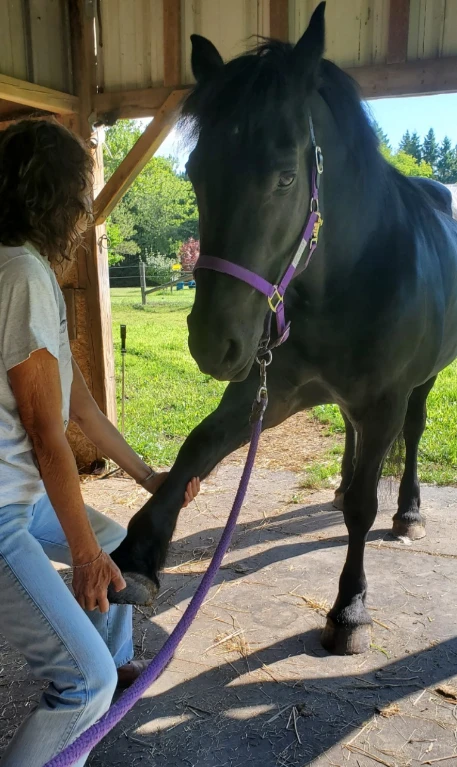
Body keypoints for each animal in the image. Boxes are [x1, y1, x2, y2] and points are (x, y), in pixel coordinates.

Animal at [110, 2, 457, 655]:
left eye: (286, 178)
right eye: (194, 172)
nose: (213, 343)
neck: (350, 278)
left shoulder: (383, 401)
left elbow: (364, 508)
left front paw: (350, 610)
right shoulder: (269, 389)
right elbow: (199, 445)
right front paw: (139, 553)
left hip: (421, 384)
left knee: (414, 434)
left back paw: (409, 513)